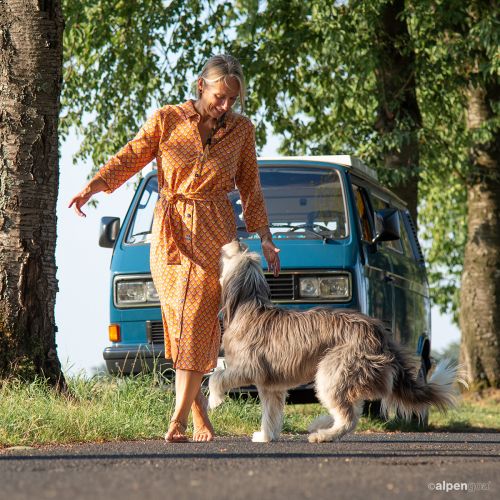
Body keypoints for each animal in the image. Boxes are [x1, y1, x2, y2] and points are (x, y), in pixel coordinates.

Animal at [208, 240, 464, 444]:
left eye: (234, 252)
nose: (234, 240)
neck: (248, 307)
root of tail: (378, 333)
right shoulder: (272, 385)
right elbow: (270, 414)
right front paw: (265, 436)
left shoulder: (248, 367)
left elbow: (216, 377)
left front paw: (214, 400)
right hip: (347, 374)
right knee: (353, 409)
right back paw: (321, 424)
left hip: (334, 370)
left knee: (349, 418)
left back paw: (322, 435)